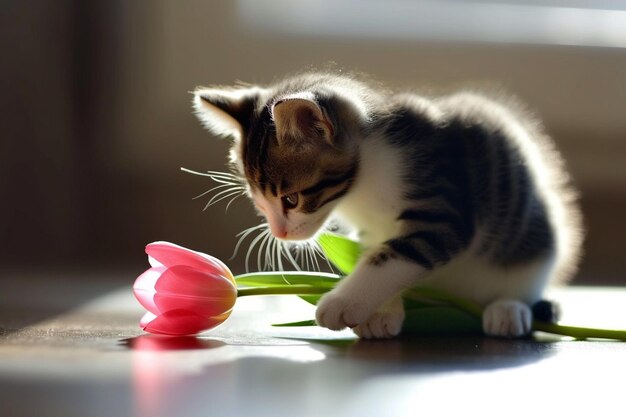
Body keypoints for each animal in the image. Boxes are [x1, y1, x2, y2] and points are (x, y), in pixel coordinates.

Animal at [194, 71, 580, 338]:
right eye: (260, 204)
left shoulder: (443, 204)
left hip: (534, 240)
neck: (363, 186)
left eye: (291, 199)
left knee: (525, 277)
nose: (279, 232)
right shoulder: (372, 229)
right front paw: (381, 312)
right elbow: (376, 255)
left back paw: (508, 309)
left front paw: (341, 303)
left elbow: (394, 257)